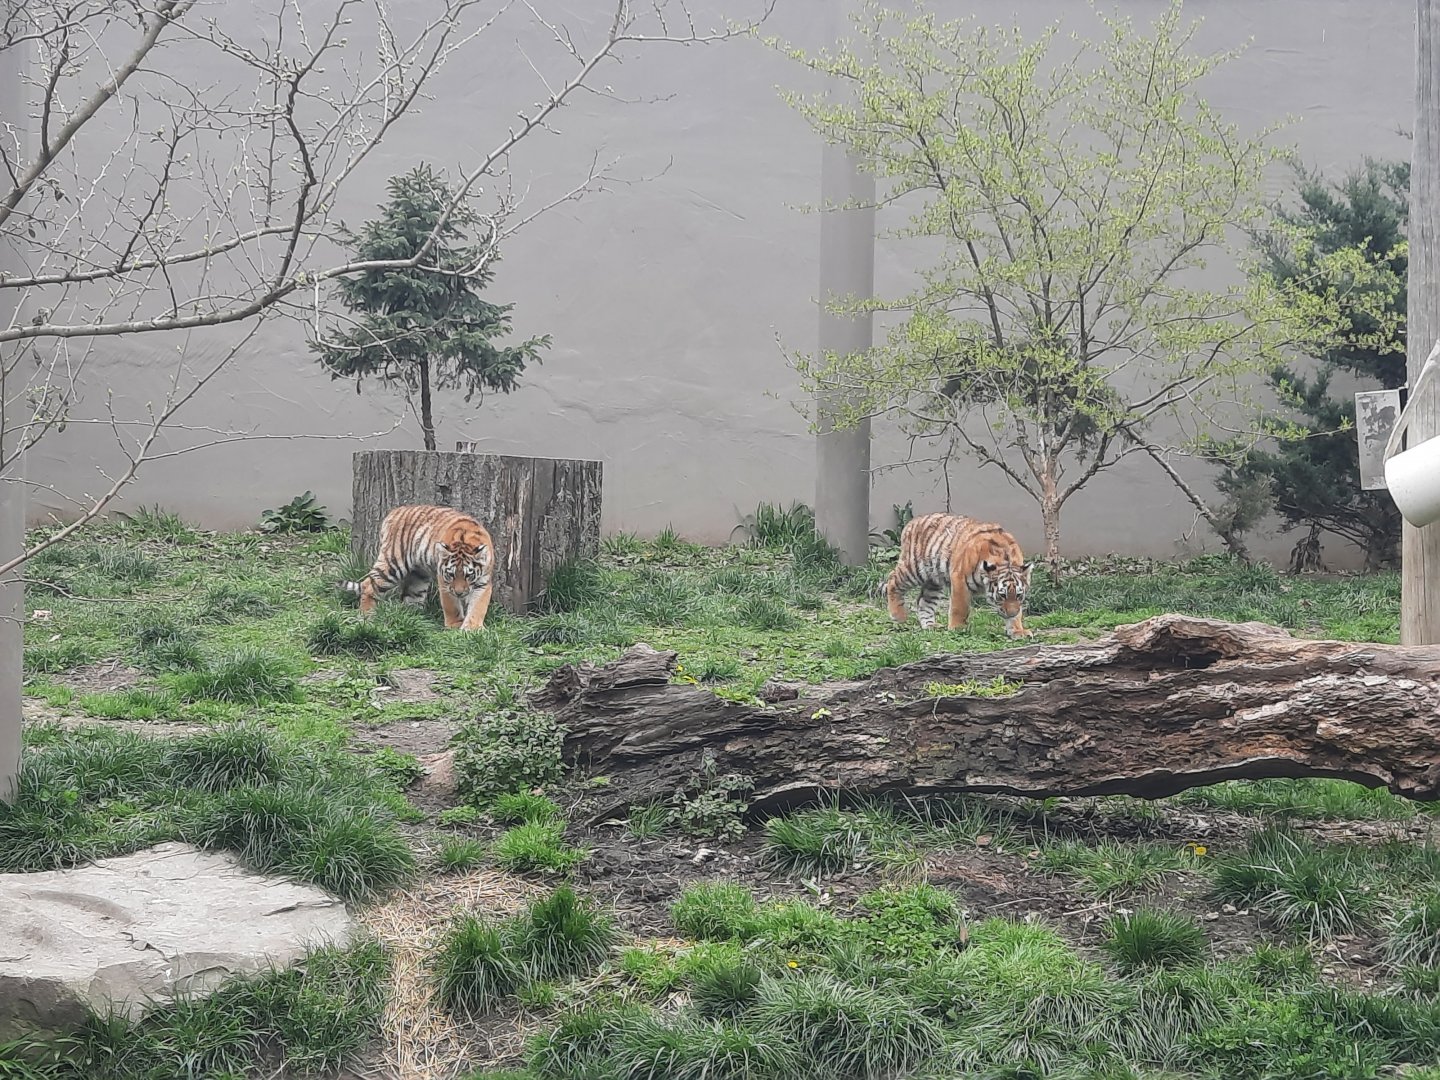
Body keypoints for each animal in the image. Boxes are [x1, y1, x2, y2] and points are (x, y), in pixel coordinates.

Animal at [343, 504, 495, 631]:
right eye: (451, 575)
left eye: (468, 575)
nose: (459, 593)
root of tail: (394, 512)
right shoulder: (444, 580)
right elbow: (451, 605)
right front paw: (455, 625)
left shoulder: (483, 581)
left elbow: (478, 606)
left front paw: (472, 628)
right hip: (393, 563)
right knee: (368, 585)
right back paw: (366, 617)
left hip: (418, 575)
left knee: (411, 597)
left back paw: (414, 619)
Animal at [882, 512, 1035, 639]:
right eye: (1002, 595)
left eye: (1019, 595)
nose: (1011, 613)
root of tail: (913, 521)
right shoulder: (959, 579)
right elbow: (960, 607)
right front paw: (957, 628)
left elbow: (1018, 614)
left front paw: (1018, 631)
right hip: (914, 569)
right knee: (892, 579)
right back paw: (898, 616)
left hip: (934, 580)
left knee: (923, 601)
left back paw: (930, 626)